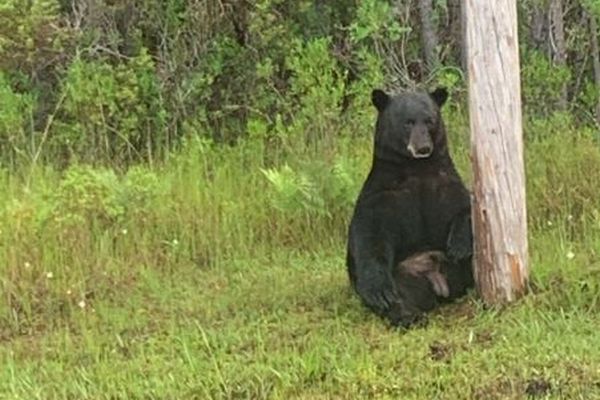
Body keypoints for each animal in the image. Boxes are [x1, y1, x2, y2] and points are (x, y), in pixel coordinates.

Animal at [346, 86, 474, 326]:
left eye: (430, 120)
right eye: (408, 122)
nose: (423, 147)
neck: (417, 168)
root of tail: (437, 282)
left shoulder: (446, 183)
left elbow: (466, 207)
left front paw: (459, 246)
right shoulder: (382, 195)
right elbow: (370, 236)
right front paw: (378, 292)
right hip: (403, 275)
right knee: (398, 295)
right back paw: (408, 315)